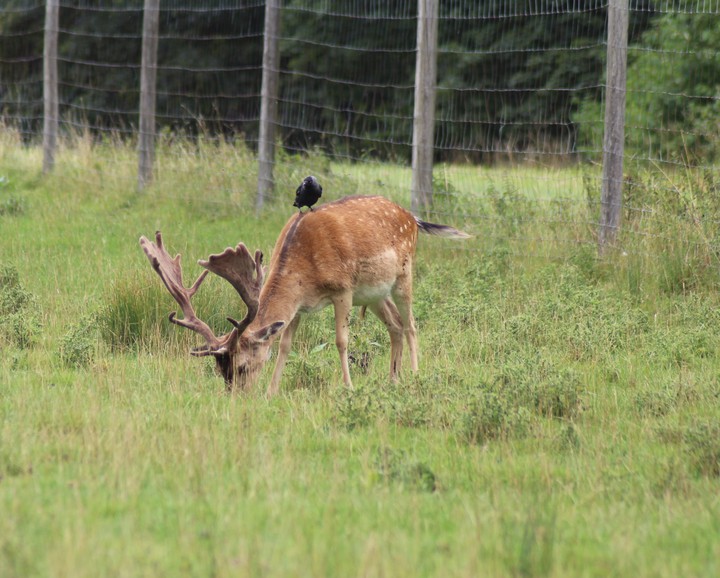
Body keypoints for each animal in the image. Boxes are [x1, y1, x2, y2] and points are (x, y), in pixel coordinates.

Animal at [140, 195, 470, 396]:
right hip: (375, 293)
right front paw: (271, 392)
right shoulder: (298, 306)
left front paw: (348, 388)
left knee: (412, 325)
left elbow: (341, 341)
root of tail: (413, 218)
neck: (305, 270)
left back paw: (414, 377)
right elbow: (284, 345)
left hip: (404, 274)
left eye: (242, 366)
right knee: (396, 326)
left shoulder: (343, 290)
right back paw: (392, 380)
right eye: (221, 371)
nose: (237, 396)